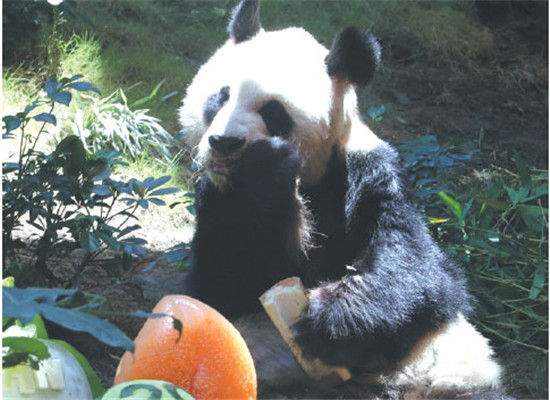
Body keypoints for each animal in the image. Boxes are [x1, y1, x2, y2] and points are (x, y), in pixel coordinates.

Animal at [179, 1, 512, 398]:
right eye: (221, 97)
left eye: (273, 111)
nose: (225, 142)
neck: (310, 177)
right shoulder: (216, 195)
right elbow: (224, 283)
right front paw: (261, 173)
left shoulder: (371, 173)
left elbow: (420, 269)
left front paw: (333, 317)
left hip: (450, 368)